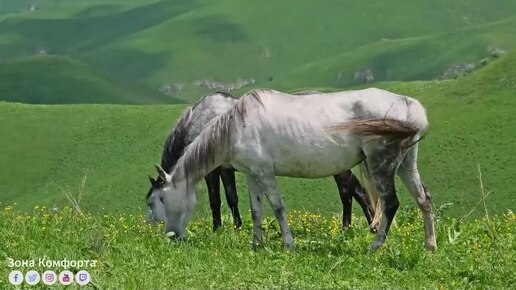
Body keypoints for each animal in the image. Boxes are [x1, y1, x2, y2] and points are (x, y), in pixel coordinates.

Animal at [145, 92, 374, 230]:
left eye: (152, 201)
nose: (150, 226)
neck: (198, 121)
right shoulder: (225, 169)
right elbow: (231, 197)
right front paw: (236, 227)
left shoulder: (212, 171)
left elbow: (216, 200)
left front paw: (218, 228)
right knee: (351, 191)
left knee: (352, 191)